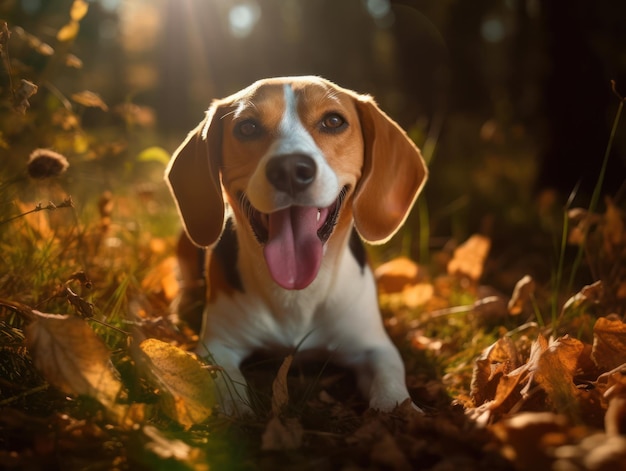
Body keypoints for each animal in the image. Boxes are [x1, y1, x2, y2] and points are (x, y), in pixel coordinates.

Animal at [166, 75, 426, 414]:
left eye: (333, 121)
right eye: (247, 127)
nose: (290, 169)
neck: (297, 294)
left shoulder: (374, 346)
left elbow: (390, 380)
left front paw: (400, 410)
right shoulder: (218, 345)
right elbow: (222, 379)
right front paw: (233, 409)